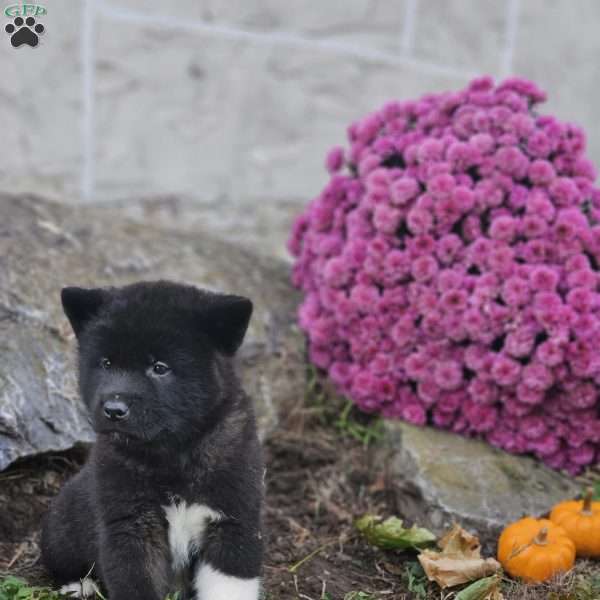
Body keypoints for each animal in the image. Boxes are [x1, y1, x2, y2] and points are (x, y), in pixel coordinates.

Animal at [41, 282, 264, 600]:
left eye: (160, 367)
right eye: (106, 363)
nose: (114, 410)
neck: (174, 453)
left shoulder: (234, 521)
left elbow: (228, 585)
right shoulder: (130, 528)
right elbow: (135, 582)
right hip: (61, 528)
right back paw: (80, 585)